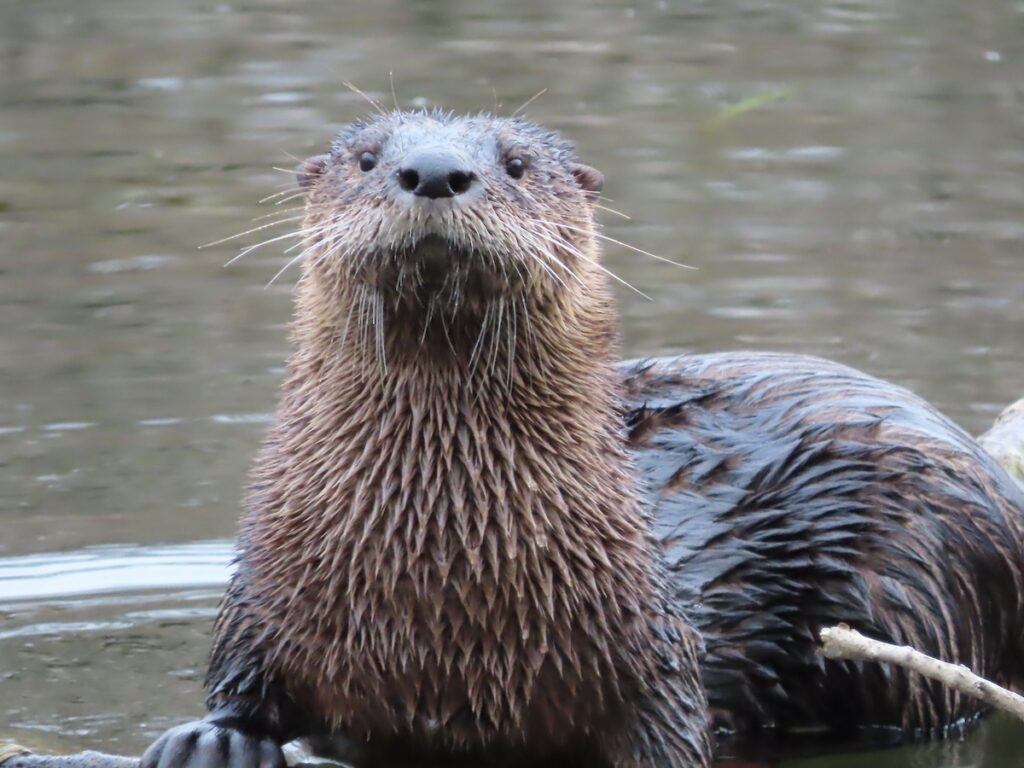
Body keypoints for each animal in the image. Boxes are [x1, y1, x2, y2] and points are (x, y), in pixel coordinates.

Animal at [137, 110, 1024, 768]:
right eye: (365, 158)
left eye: (518, 163)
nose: (433, 170)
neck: (437, 575)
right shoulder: (260, 600)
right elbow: (240, 682)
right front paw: (213, 737)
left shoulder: (656, 661)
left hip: (918, 590)